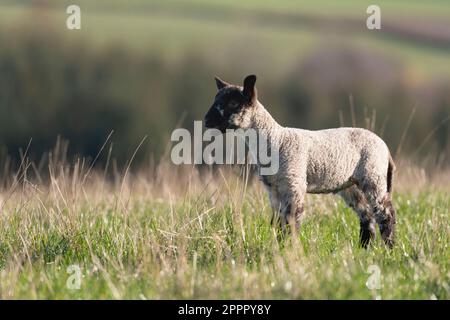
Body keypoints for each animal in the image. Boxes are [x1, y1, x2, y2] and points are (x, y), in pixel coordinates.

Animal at [205, 74, 398, 248]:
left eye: (232, 103)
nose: (207, 120)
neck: (275, 140)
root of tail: (385, 148)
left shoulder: (293, 183)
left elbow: (292, 221)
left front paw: (291, 250)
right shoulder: (273, 190)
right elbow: (278, 223)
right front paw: (279, 248)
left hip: (373, 174)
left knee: (385, 213)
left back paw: (389, 248)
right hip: (350, 185)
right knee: (367, 215)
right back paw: (364, 248)